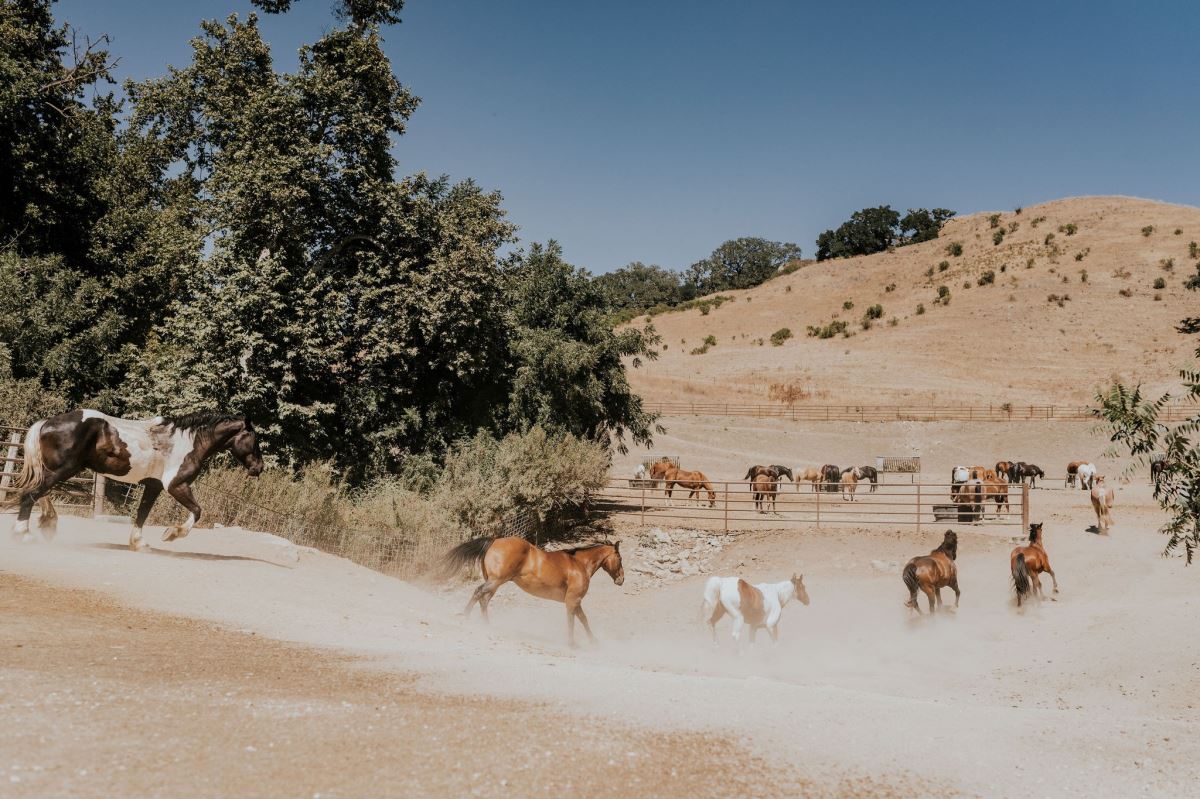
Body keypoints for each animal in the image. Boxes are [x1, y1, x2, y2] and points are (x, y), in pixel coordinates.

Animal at [2, 410, 265, 547]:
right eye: (254, 439)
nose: (259, 468)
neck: (187, 443)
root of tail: (46, 422)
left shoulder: (154, 486)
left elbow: (142, 513)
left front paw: (139, 542)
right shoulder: (176, 485)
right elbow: (198, 511)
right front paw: (172, 534)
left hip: (58, 469)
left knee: (39, 492)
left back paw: (48, 522)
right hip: (62, 469)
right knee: (31, 493)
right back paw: (24, 533)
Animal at [444, 532, 628, 643]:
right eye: (619, 558)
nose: (621, 579)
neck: (579, 564)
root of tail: (494, 541)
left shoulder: (575, 601)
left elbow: (583, 619)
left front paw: (593, 642)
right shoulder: (573, 600)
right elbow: (573, 620)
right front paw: (573, 644)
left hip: (495, 582)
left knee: (484, 600)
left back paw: (486, 625)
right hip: (496, 581)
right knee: (478, 593)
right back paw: (465, 617)